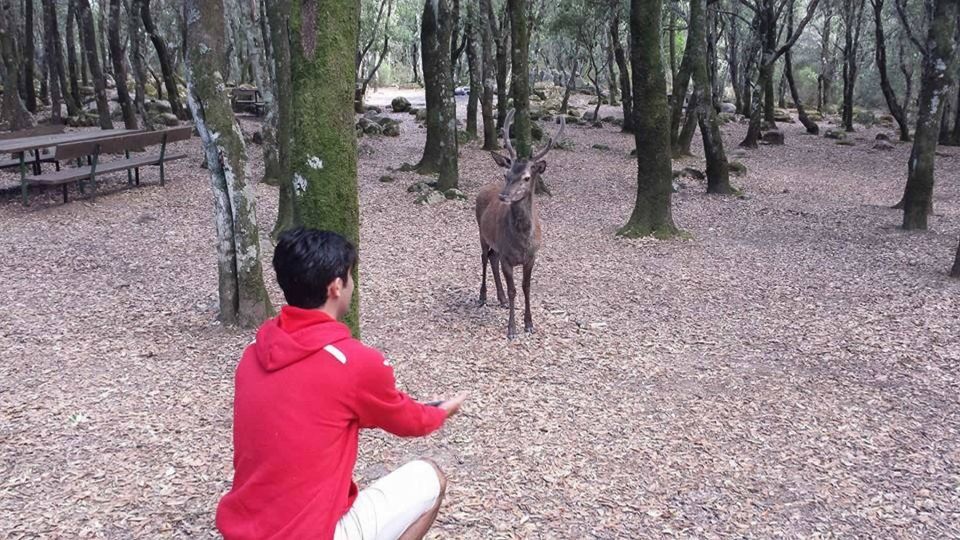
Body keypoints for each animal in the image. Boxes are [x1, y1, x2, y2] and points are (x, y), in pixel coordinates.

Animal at [478, 108, 564, 338]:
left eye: (526, 177)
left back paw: (501, 300)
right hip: (481, 233)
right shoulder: (507, 257)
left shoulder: (532, 257)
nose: (504, 196)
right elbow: (513, 290)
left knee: (492, 258)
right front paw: (512, 329)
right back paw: (482, 296)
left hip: (496, 245)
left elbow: (526, 288)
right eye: (506, 174)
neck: (522, 241)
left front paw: (529, 324)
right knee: (484, 258)